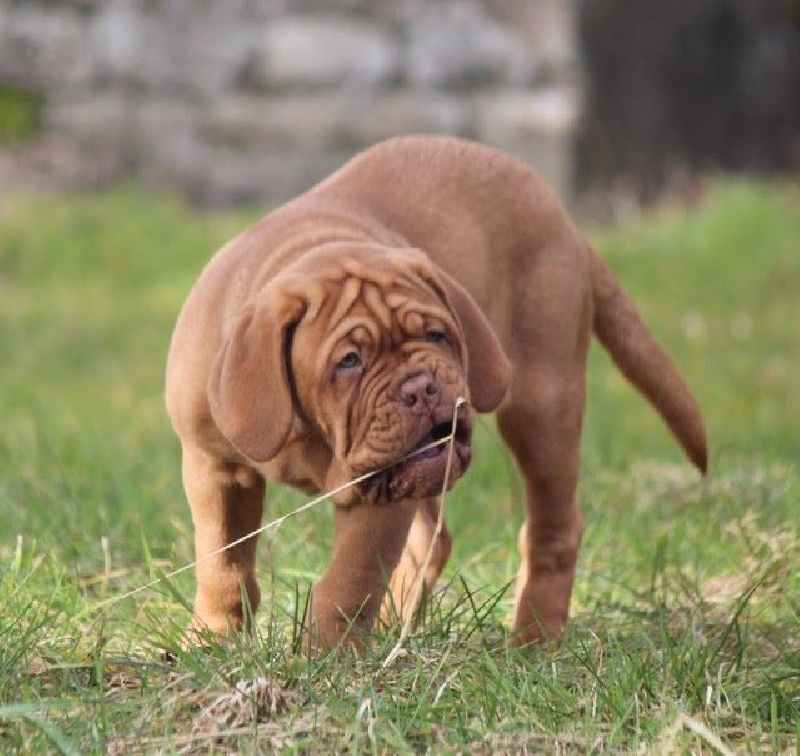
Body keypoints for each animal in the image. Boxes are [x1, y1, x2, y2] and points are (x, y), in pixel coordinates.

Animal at [164, 136, 708, 648]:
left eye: (437, 335)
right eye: (349, 361)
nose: (422, 389)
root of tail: (562, 216)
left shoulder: (380, 496)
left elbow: (348, 581)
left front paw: (325, 657)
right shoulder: (216, 467)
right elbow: (222, 561)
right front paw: (212, 638)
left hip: (542, 405)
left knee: (552, 527)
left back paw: (534, 639)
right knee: (434, 539)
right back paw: (393, 627)